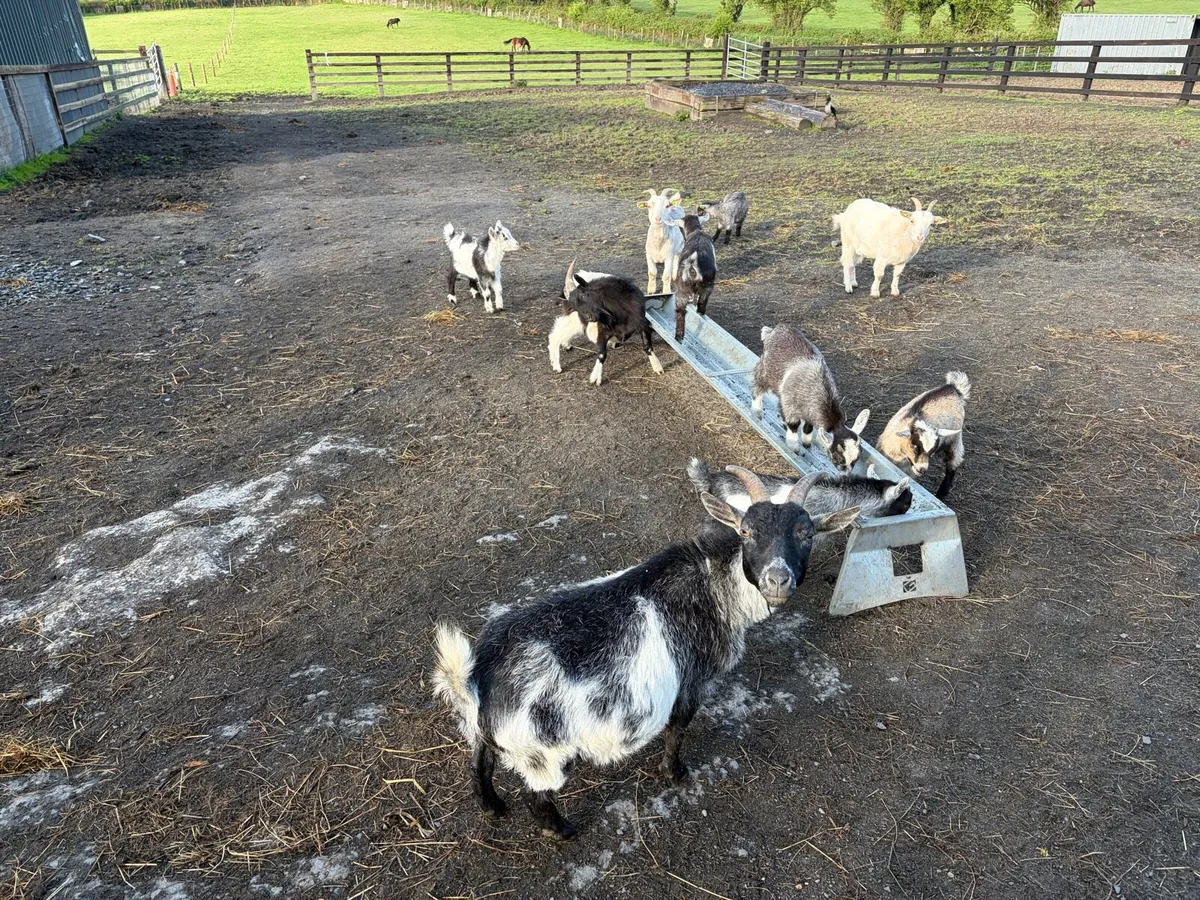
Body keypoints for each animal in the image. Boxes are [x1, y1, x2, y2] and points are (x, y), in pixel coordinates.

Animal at [432, 466, 861, 840]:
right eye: (746, 531)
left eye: (807, 533)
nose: (777, 580)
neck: (715, 585)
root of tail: (475, 677)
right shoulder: (691, 683)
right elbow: (676, 731)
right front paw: (676, 773)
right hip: (542, 753)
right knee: (537, 796)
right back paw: (562, 831)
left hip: (482, 733)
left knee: (479, 765)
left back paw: (493, 808)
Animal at [752, 324, 870, 473]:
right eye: (837, 456)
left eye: (857, 457)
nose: (845, 473)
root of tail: (774, 330)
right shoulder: (791, 407)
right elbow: (794, 426)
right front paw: (794, 448)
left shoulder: (809, 411)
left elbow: (808, 428)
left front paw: (807, 443)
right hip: (764, 370)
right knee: (757, 388)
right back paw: (757, 411)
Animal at [877, 371, 970, 500]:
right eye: (915, 447)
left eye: (932, 451)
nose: (922, 469)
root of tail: (952, 388)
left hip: (955, 440)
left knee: (953, 463)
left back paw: (941, 492)